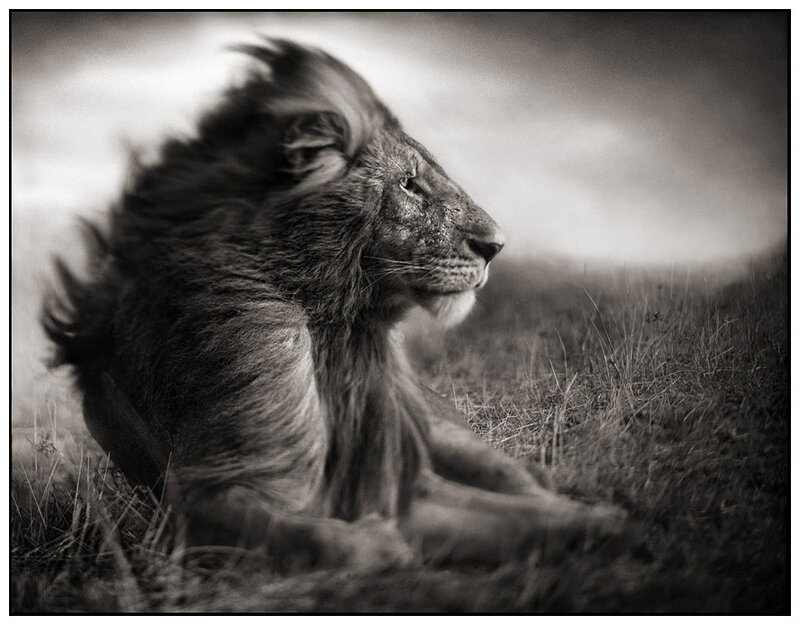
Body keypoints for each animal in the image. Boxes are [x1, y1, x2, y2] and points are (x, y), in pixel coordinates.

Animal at [43, 39, 628, 570]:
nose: (496, 246)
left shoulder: (401, 479)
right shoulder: (201, 499)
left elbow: (525, 516)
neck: (336, 327)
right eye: (409, 185)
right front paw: (379, 545)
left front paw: (605, 521)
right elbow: (312, 537)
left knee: (513, 474)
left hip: (442, 431)